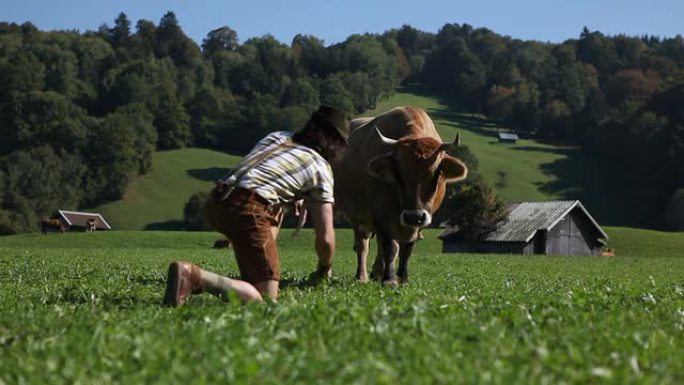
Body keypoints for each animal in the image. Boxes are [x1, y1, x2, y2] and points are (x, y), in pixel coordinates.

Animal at [330, 106, 468, 284]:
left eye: (437, 174)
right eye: (398, 172)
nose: (414, 216)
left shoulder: (420, 220)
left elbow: (406, 249)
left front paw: (402, 278)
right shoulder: (380, 213)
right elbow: (390, 247)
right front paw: (389, 279)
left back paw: (377, 272)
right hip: (357, 214)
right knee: (362, 245)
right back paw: (361, 276)